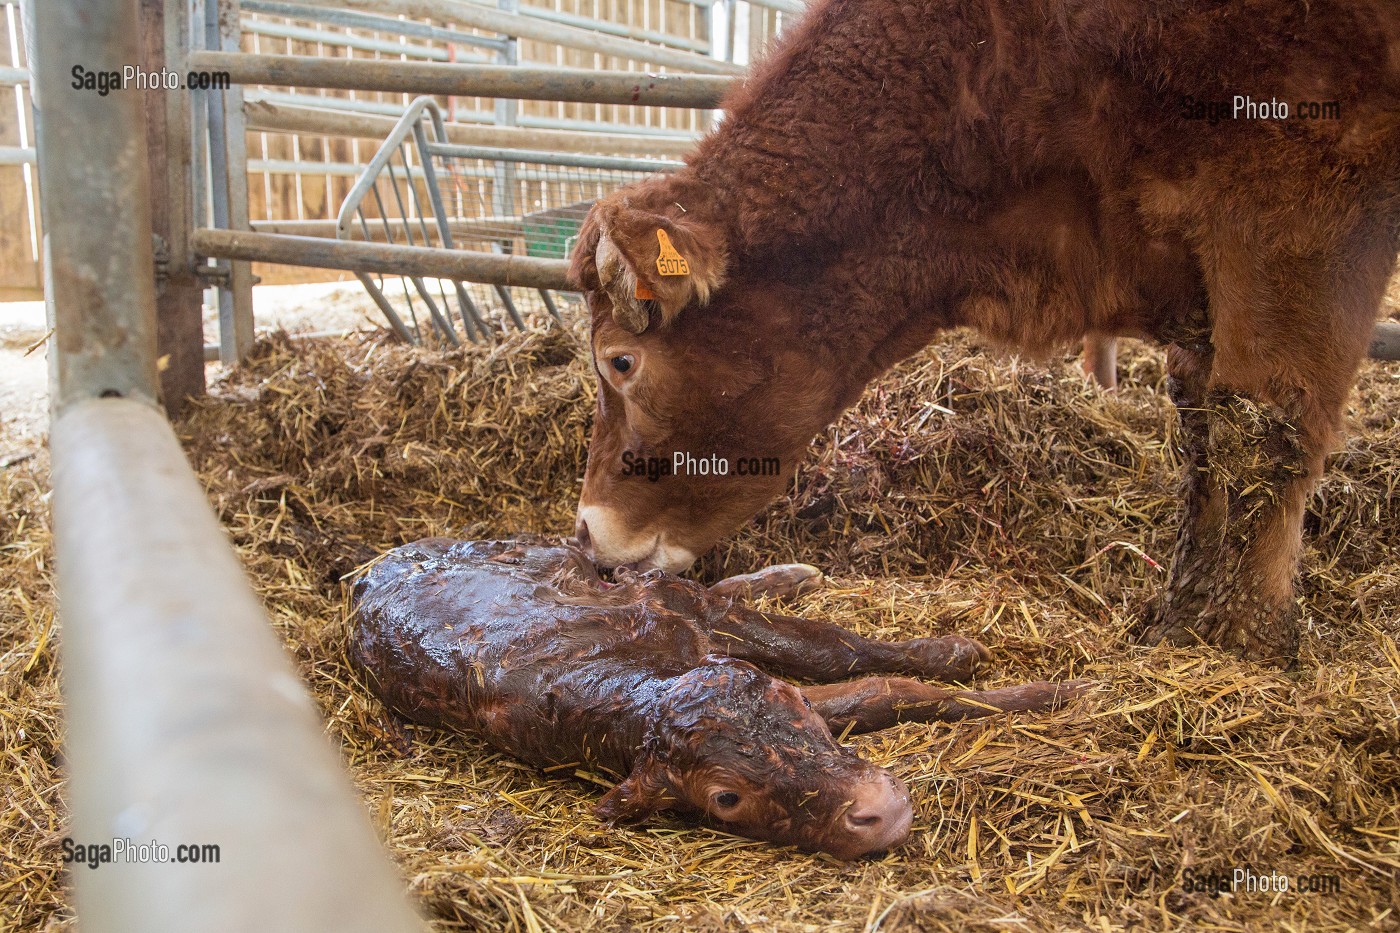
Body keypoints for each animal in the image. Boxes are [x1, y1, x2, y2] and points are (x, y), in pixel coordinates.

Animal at [350, 538, 1081, 859]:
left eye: (792, 707)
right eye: (726, 798)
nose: (880, 812)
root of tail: (367, 568)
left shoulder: (694, 618)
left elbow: (834, 650)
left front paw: (978, 661)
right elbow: (870, 693)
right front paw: (1036, 689)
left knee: (663, 573)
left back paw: (788, 573)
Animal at [567, 0, 1400, 663]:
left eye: (621, 361)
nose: (584, 530)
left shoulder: (1295, 209)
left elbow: (1263, 428)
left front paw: (1241, 633)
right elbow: (1203, 432)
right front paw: (1184, 610)